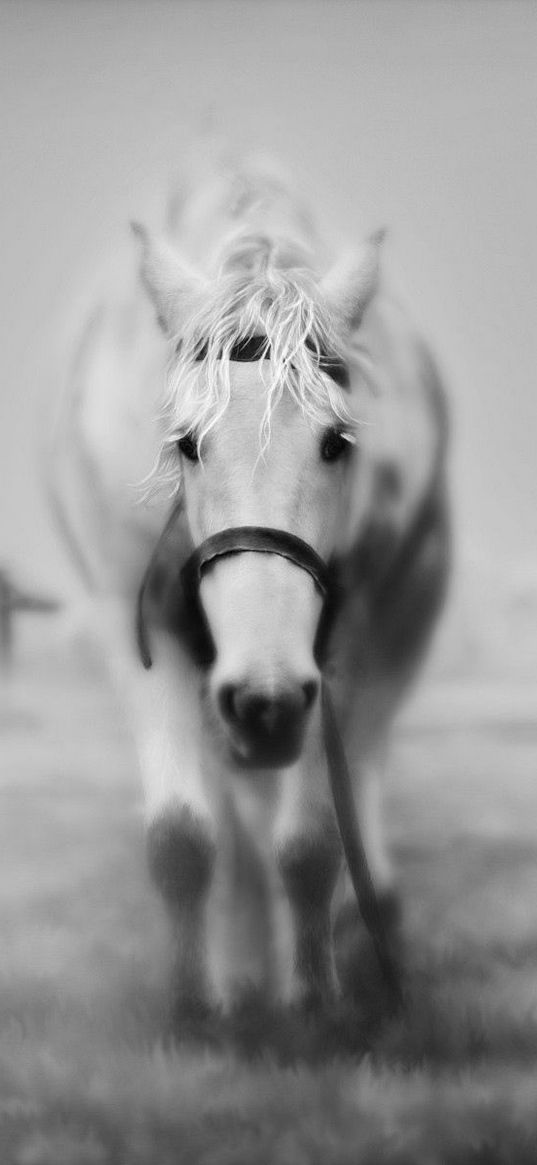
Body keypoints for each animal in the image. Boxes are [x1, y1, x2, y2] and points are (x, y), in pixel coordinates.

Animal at [49, 157, 447, 1029]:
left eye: (337, 442)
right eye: (184, 443)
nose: (265, 700)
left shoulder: (347, 638)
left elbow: (312, 840)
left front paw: (313, 998)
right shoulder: (135, 627)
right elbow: (182, 836)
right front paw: (196, 1004)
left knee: (362, 763)